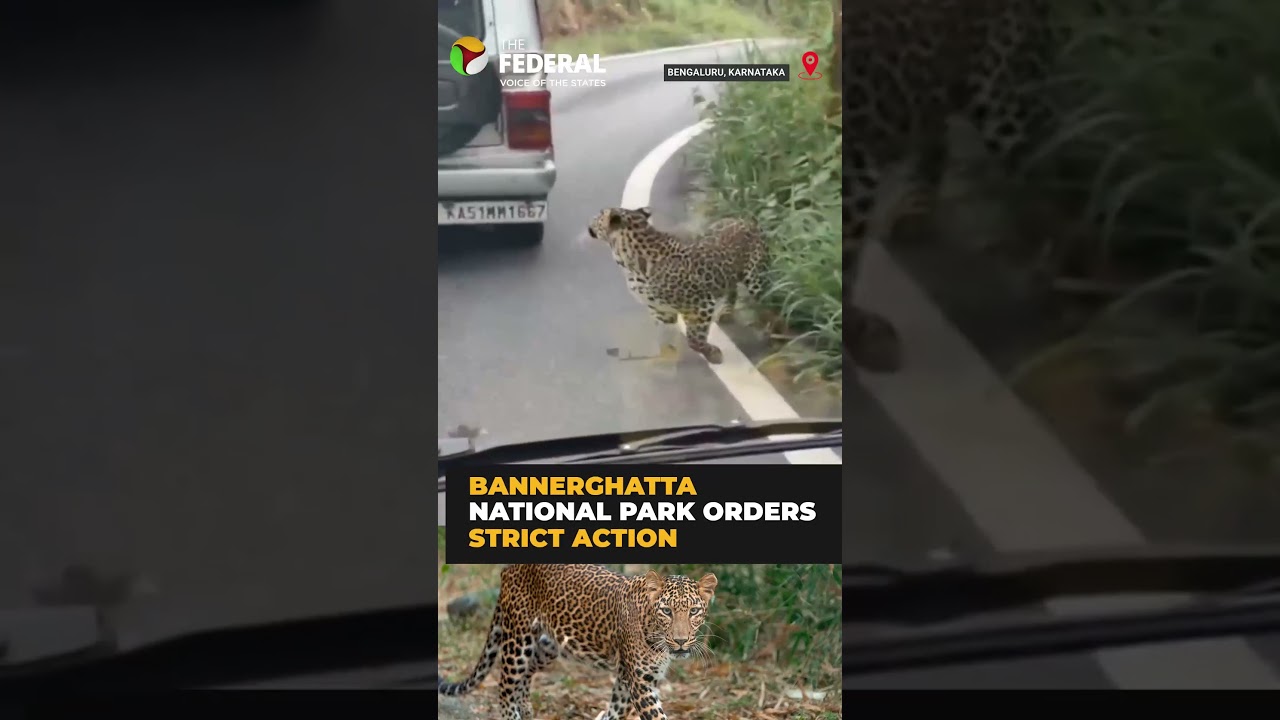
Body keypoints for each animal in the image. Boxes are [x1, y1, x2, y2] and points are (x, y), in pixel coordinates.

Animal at [438, 564, 718, 720]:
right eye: (667, 611)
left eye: (694, 611)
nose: (680, 641)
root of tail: (509, 569)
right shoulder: (640, 682)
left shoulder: (631, 678)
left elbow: (615, 711)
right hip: (518, 639)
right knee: (505, 685)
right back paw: (513, 714)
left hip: (547, 646)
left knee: (526, 674)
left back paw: (526, 708)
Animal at [587, 207, 768, 365]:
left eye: (599, 215)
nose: (590, 222)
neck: (627, 262)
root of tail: (743, 219)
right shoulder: (660, 310)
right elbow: (664, 335)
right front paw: (666, 356)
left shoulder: (700, 304)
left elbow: (694, 339)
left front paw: (713, 354)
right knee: (732, 287)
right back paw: (727, 312)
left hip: (753, 277)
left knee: (766, 298)